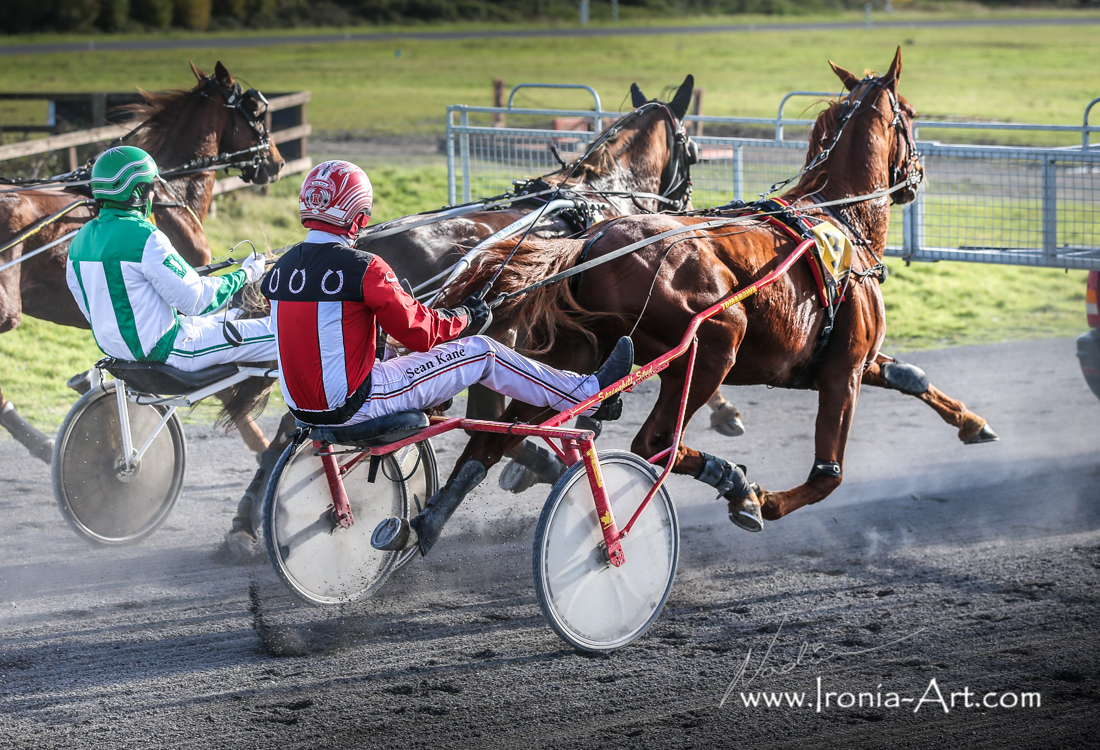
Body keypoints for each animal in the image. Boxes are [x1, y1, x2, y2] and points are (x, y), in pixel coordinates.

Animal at [0, 62, 288, 461]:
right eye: (257, 111)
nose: (276, 162)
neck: (169, 193)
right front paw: (259, 442)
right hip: (7, 306)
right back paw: (38, 440)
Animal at [435, 51, 998, 532]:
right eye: (911, 114)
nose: (917, 175)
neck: (839, 215)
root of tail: (591, 242)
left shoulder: (844, 360)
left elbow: (909, 375)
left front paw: (973, 423)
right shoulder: (844, 369)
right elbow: (828, 474)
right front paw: (764, 499)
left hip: (582, 355)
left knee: (495, 436)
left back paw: (431, 519)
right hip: (713, 345)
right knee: (656, 442)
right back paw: (731, 481)